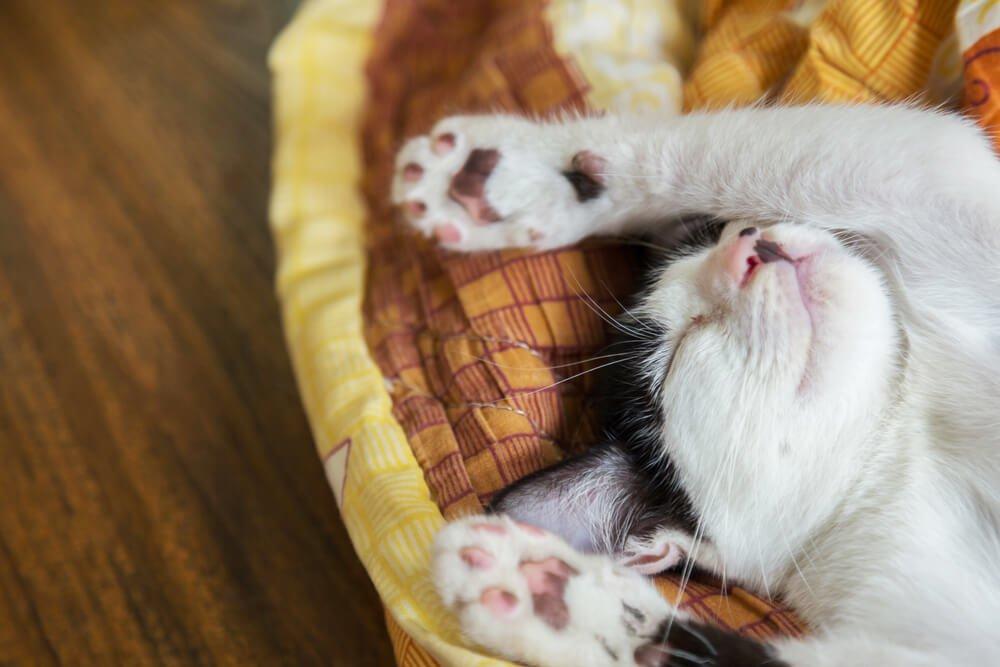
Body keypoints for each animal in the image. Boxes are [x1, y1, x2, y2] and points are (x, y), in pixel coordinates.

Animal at [388, 105, 1000, 667]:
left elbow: (739, 154)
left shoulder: (929, 193)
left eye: (726, 230)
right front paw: (557, 601)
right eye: (678, 351)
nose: (751, 247)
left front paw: (512, 176)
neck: (897, 436)